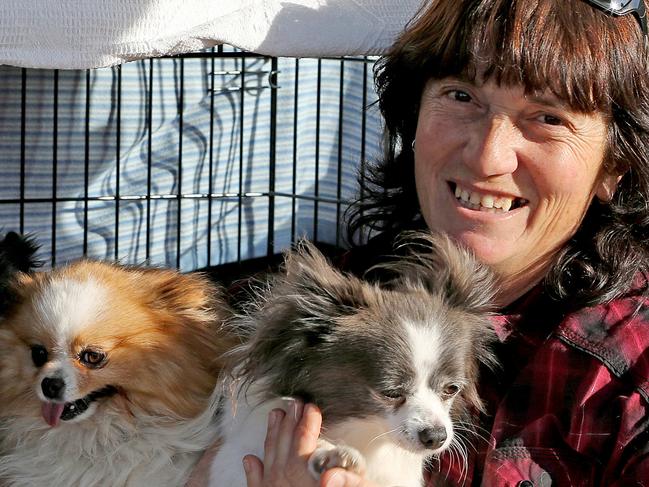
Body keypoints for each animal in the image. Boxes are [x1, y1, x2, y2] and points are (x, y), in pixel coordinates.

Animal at [208, 233, 496, 487]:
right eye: (391, 393)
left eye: (451, 389)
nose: (436, 436)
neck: (366, 434)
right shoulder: (234, 461)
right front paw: (329, 454)